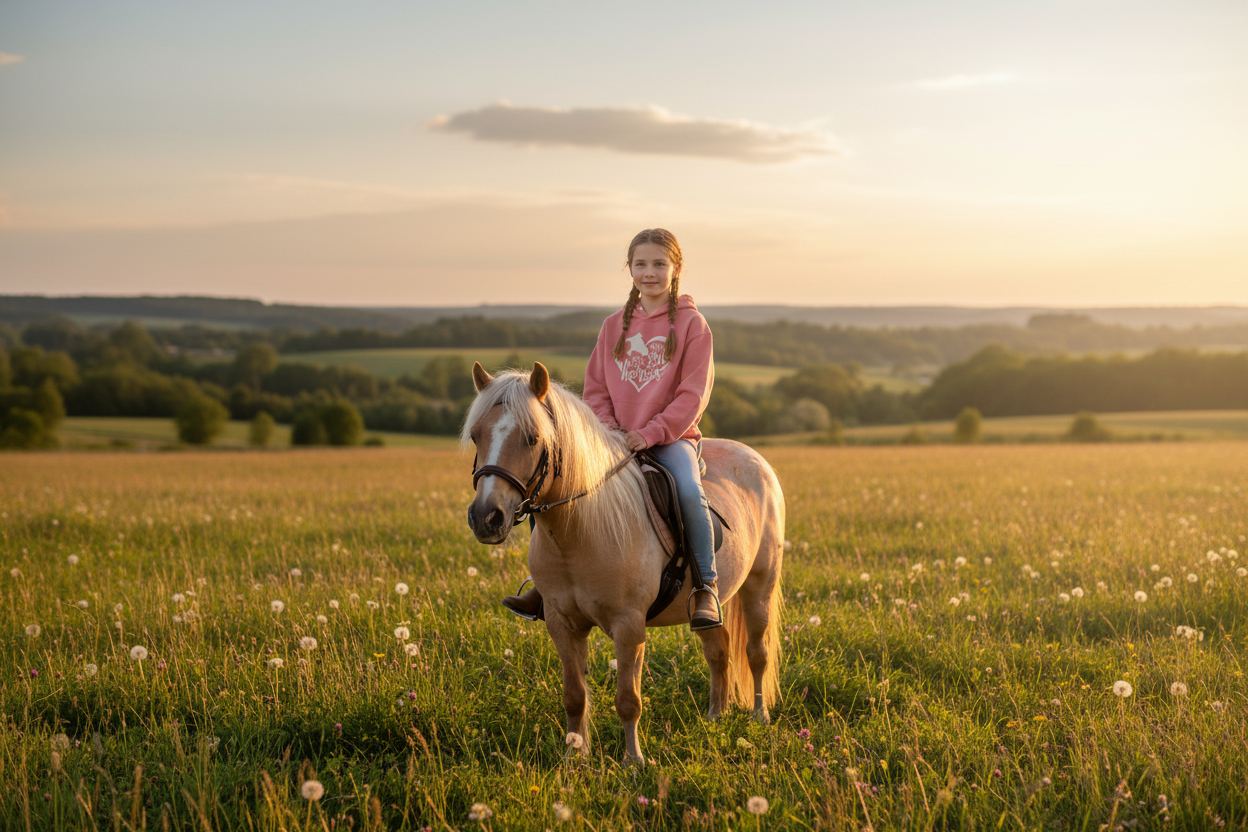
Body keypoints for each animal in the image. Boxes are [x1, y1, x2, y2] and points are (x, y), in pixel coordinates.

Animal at [462, 362, 785, 765]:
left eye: (533, 438)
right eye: (476, 436)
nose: (485, 518)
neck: (579, 532)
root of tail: (757, 461)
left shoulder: (629, 626)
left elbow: (628, 699)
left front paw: (634, 761)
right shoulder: (561, 623)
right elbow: (574, 695)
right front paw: (574, 757)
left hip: (760, 585)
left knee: (756, 653)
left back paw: (760, 717)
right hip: (708, 602)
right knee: (718, 649)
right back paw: (715, 716)